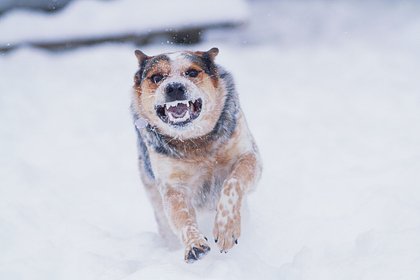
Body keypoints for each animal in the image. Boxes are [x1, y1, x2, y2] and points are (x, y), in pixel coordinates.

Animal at [131, 47, 262, 262]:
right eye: (157, 77)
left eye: (192, 72)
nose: (174, 87)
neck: (197, 143)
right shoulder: (173, 186)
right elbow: (182, 216)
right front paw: (194, 244)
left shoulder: (249, 156)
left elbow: (232, 182)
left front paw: (226, 229)